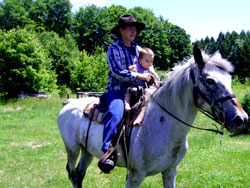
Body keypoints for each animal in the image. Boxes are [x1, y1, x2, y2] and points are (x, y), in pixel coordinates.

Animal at [57, 44, 248, 187]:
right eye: (210, 80)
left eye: (230, 80)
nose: (241, 119)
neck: (164, 126)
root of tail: (69, 103)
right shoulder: (135, 176)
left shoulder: (170, 172)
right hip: (72, 149)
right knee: (72, 173)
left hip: (87, 150)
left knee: (79, 174)